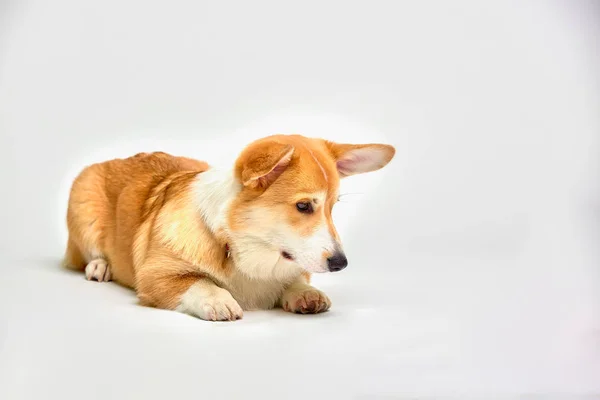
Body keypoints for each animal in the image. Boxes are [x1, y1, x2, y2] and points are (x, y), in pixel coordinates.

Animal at [63, 134, 396, 322]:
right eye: (304, 206)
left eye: (332, 207)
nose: (341, 264)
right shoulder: (155, 276)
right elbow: (198, 282)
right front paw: (218, 300)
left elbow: (295, 280)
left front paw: (307, 293)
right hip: (83, 202)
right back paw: (100, 266)